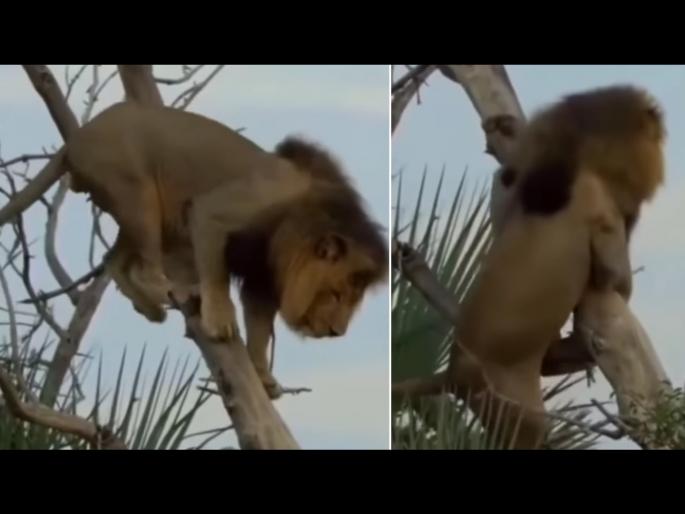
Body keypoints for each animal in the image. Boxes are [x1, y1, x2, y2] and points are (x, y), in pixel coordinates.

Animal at [0, 102, 388, 398]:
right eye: (337, 295)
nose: (337, 333)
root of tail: (75, 140)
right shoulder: (214, 212)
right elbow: (216, 276)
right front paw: (220, 319)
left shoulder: (261, 274)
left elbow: (260, 331)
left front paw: (263, 377)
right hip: (137, 194)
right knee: (143, 265)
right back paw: (167, 290)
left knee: (113, 260)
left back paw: (150, 308)